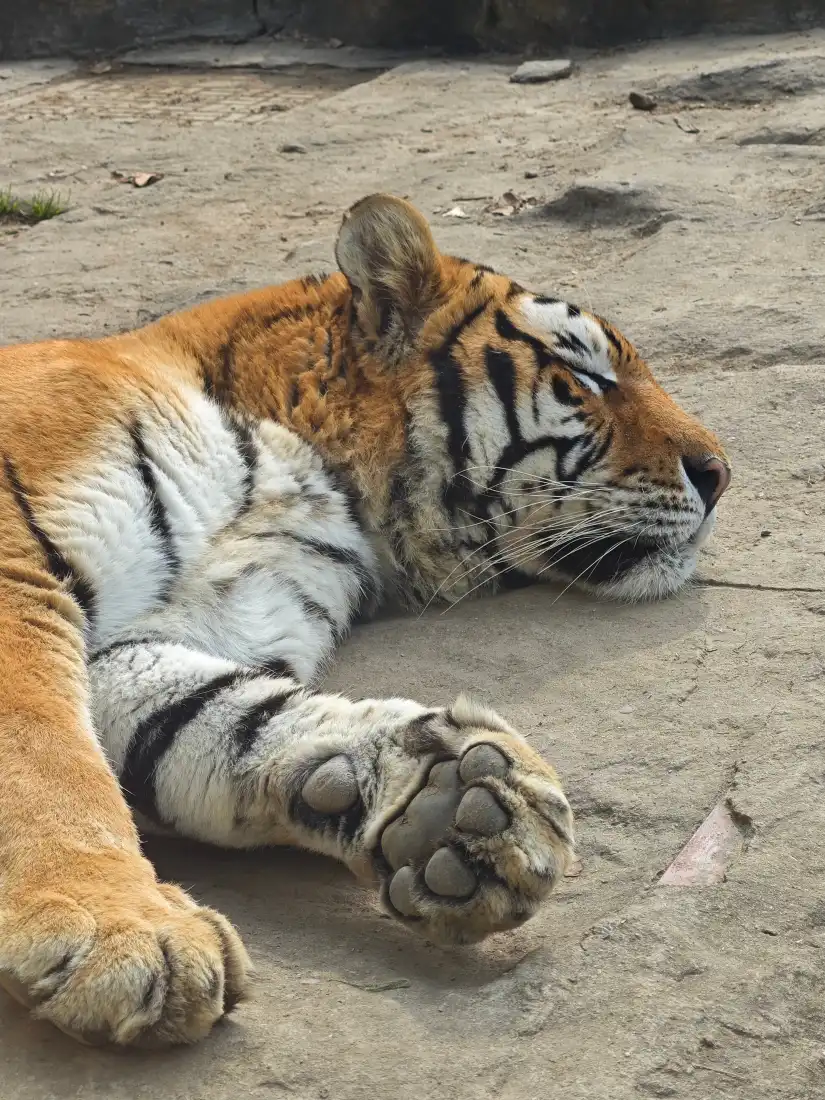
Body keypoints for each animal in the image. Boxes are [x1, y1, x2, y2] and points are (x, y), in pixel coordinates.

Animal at [0, 194, 729, 1048]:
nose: (718, 474)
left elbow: (213, 716)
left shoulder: (174, 635)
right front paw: (123, 934)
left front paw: (444, 803)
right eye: (585, 373)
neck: (319, 482)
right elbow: (44, 760)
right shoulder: (16, 570)